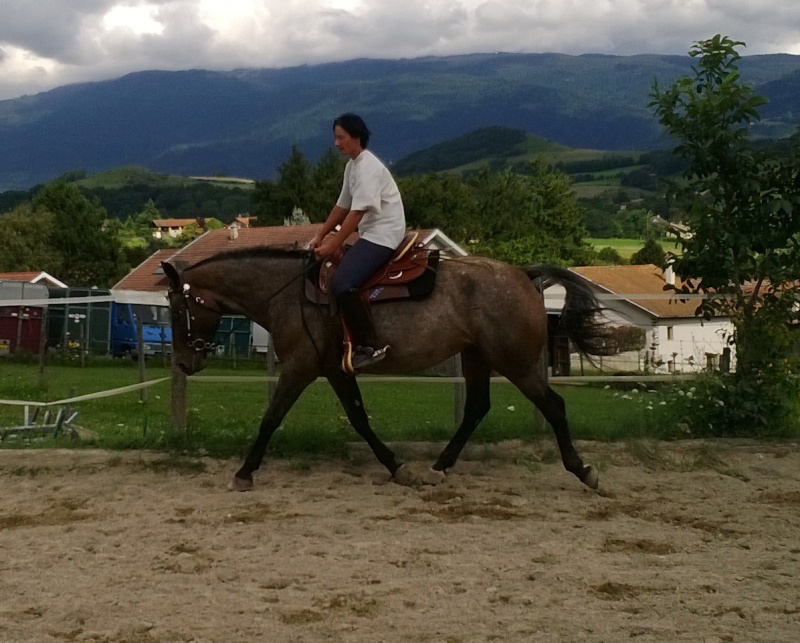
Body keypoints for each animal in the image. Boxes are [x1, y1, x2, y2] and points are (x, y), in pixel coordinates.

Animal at [161, 249, 612, 490]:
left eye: (176, 308)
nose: (184, 361)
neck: (287, 294)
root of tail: (524, 274)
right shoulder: (335, 370)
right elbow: (360, 419)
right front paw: (398, 468)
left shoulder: (300, 367)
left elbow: (271, 418)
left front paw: (244, 472)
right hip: (477, 356)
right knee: (477, 407)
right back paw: (439, 466)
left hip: (514, 361)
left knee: (553, 406)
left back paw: (583, 471)